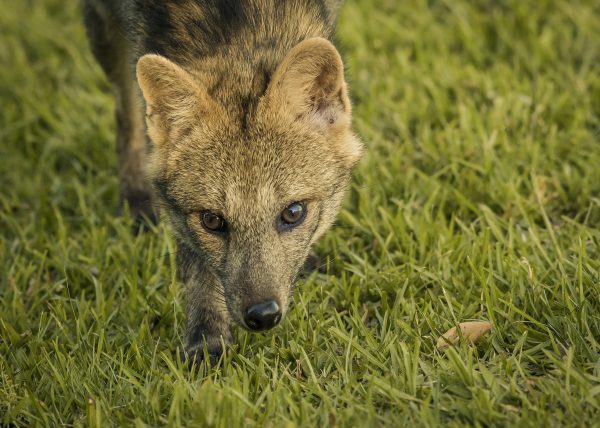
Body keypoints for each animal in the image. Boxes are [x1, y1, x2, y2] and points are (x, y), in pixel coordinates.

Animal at [82, 0, 364, 364]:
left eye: (293, 213)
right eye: (212, 221)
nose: (263, 315)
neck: (237, 29)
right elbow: (197, 264)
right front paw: (207, 336)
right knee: (125, 113)